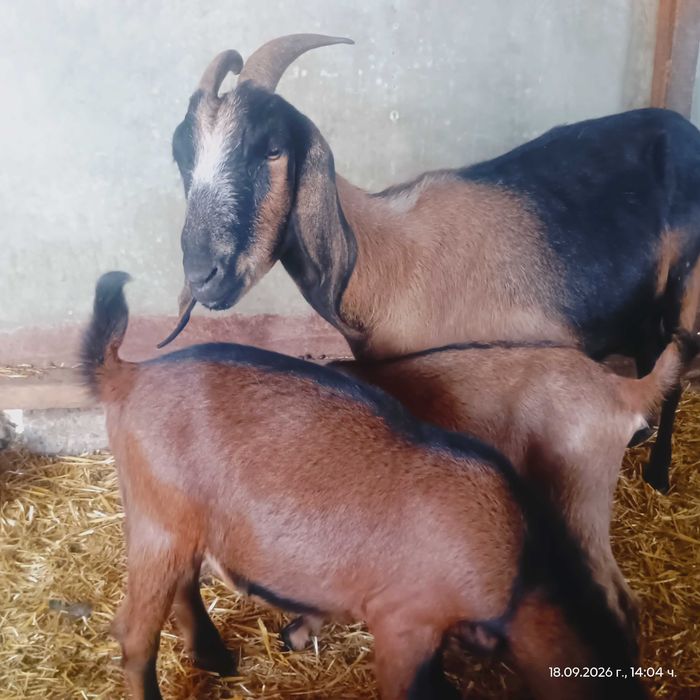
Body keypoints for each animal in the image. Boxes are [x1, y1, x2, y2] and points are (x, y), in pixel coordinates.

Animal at [83, 272, 647, 700]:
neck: (518, 569)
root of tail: (126, 376)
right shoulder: (404, 623)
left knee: (181, 586)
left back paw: (217, 657)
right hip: (160, 523)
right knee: (134, 634)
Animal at [162, 33, 700, 493]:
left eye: (272, 149)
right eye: (180, 157)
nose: (203, 275)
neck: (384, 258)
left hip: (684, 288)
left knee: (677, 362)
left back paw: (658, 475)